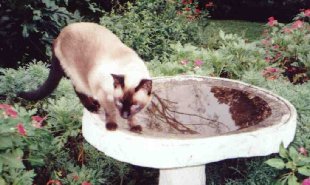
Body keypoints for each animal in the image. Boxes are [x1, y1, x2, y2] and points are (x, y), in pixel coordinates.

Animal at [17, 22, 152, 132]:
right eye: (120, 102)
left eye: (134, 105)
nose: (124, 115)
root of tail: (60, 35)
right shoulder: (103, 93)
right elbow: (110, 111)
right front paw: (112, 125)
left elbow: (133, 116)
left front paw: (134, 126)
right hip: (79, 77)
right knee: (78, 90)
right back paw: (92, 107)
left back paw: (95, 103)